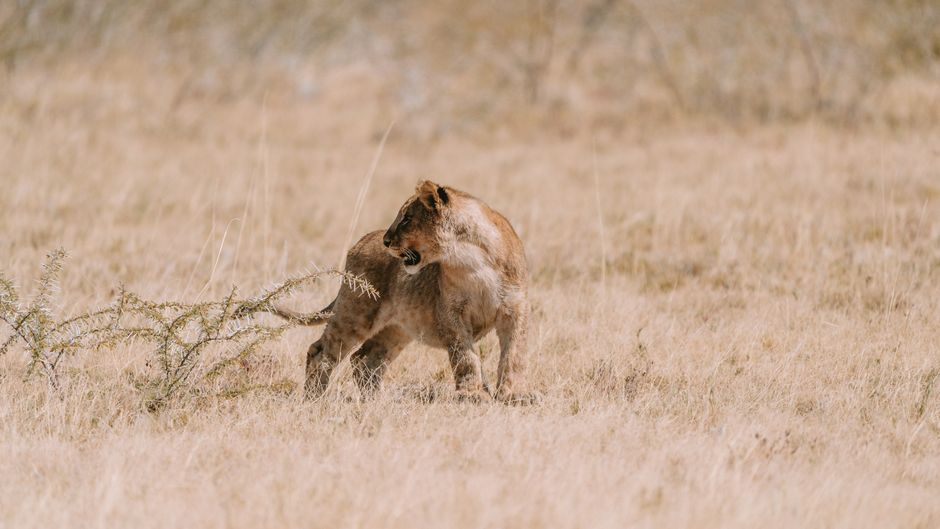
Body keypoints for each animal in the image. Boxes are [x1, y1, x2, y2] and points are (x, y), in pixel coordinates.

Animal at [273, 180, 536, 404]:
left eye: (407, 218)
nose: (387, 241)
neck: (471, 261)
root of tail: (361, 241)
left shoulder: (515, 308)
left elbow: (514, 354)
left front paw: (514, 395)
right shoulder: (451, 313)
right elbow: (465, 356)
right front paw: (472, 395)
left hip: (398, 327)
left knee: (365, 358)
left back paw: (376, 402)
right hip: (356, 313)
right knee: (321, 350)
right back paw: (313, 398)